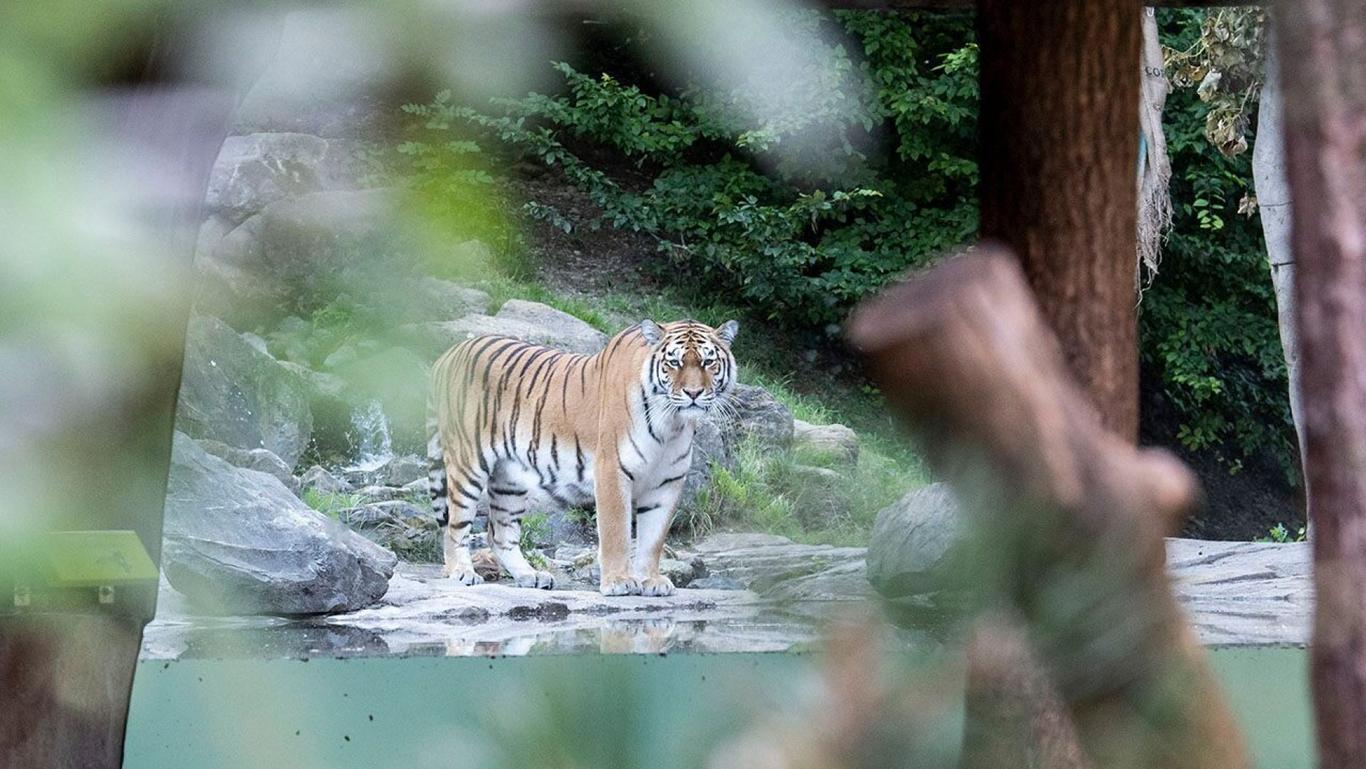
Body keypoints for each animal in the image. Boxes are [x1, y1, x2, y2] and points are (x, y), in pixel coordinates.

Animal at [426, 315, 743, 598]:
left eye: (708, 362)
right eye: (674, 362)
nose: (693, 393)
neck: (672, 424)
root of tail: (447, 356)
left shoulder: (666, 483)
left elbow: (653, 539)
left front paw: (651, 581)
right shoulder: (612, 471)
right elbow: (617, 534)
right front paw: (619, 582)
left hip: (510, 479)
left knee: (499, 533)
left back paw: (531, 576)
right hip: (467, 465)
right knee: (454, 525)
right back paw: (461, 572)